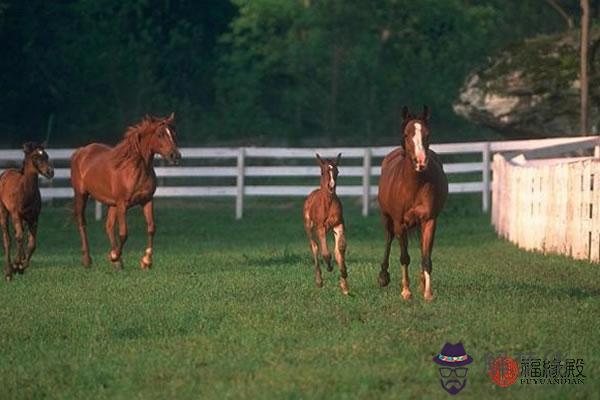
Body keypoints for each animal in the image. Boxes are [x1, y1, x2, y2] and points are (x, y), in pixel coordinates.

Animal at [0, 143, 54, 282]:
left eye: (47, 156)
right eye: (35, 157)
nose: (50, 172)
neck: (25, 191)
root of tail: (5, 173)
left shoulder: (34, 218)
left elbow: (32, 243)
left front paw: (21, 266)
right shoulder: (16, 215)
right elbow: (19, 237)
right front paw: (16, 265)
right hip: (4, 212)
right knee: (8, 239)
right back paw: (8, 272)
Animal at [70, 113, 180, 268]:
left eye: (174, 133)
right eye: (160, 134)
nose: (175, 156)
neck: (134, 168)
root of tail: (80, 152)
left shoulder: (147, 200)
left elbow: (151, 228)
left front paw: (146, 261)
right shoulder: (122, 204)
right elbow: (124, 233)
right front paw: (115, 256)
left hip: (112, 204)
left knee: (109, 226)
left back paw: (117, 262)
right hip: (81, 195)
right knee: (82, 222)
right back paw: (88, 260)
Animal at [302, 153, 350, 294]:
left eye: (337, 171)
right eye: (323, 172)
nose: (331, 186)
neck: (328, 202)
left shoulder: (339, 224)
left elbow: (340, 249)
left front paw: (344, 276)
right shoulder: (320, 228)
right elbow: (325, 253)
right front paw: (329, 266)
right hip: (308, 227)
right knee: (314, 247)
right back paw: (319, 281)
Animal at [378, 106, 448, 300]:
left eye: (427, 134)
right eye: (406, 134)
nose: (421, 161)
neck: (414, 185)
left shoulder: (429, 221)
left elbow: (426, 257)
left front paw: (427, 293)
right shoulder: (400, 223)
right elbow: (404, 257)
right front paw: (406, 291)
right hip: (387, 218)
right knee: (388, 238)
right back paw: (383, 277)